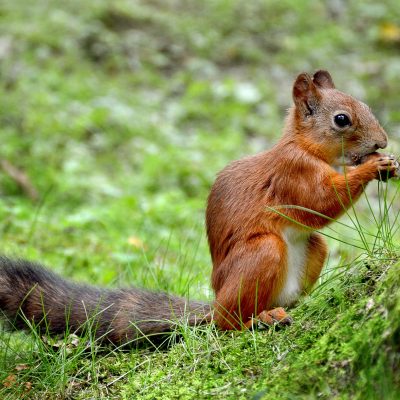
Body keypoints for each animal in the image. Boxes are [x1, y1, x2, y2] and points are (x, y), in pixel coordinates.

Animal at [0, 69, 396, 344]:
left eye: (367, 106)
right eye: (341, 119)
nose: (382, 141)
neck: (306, 148)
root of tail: (215, 301)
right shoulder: (291, 175)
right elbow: (320, 203)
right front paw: (373, 166)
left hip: (312, 250)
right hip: (261, 254)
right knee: (225, 323)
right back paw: (256, 320)